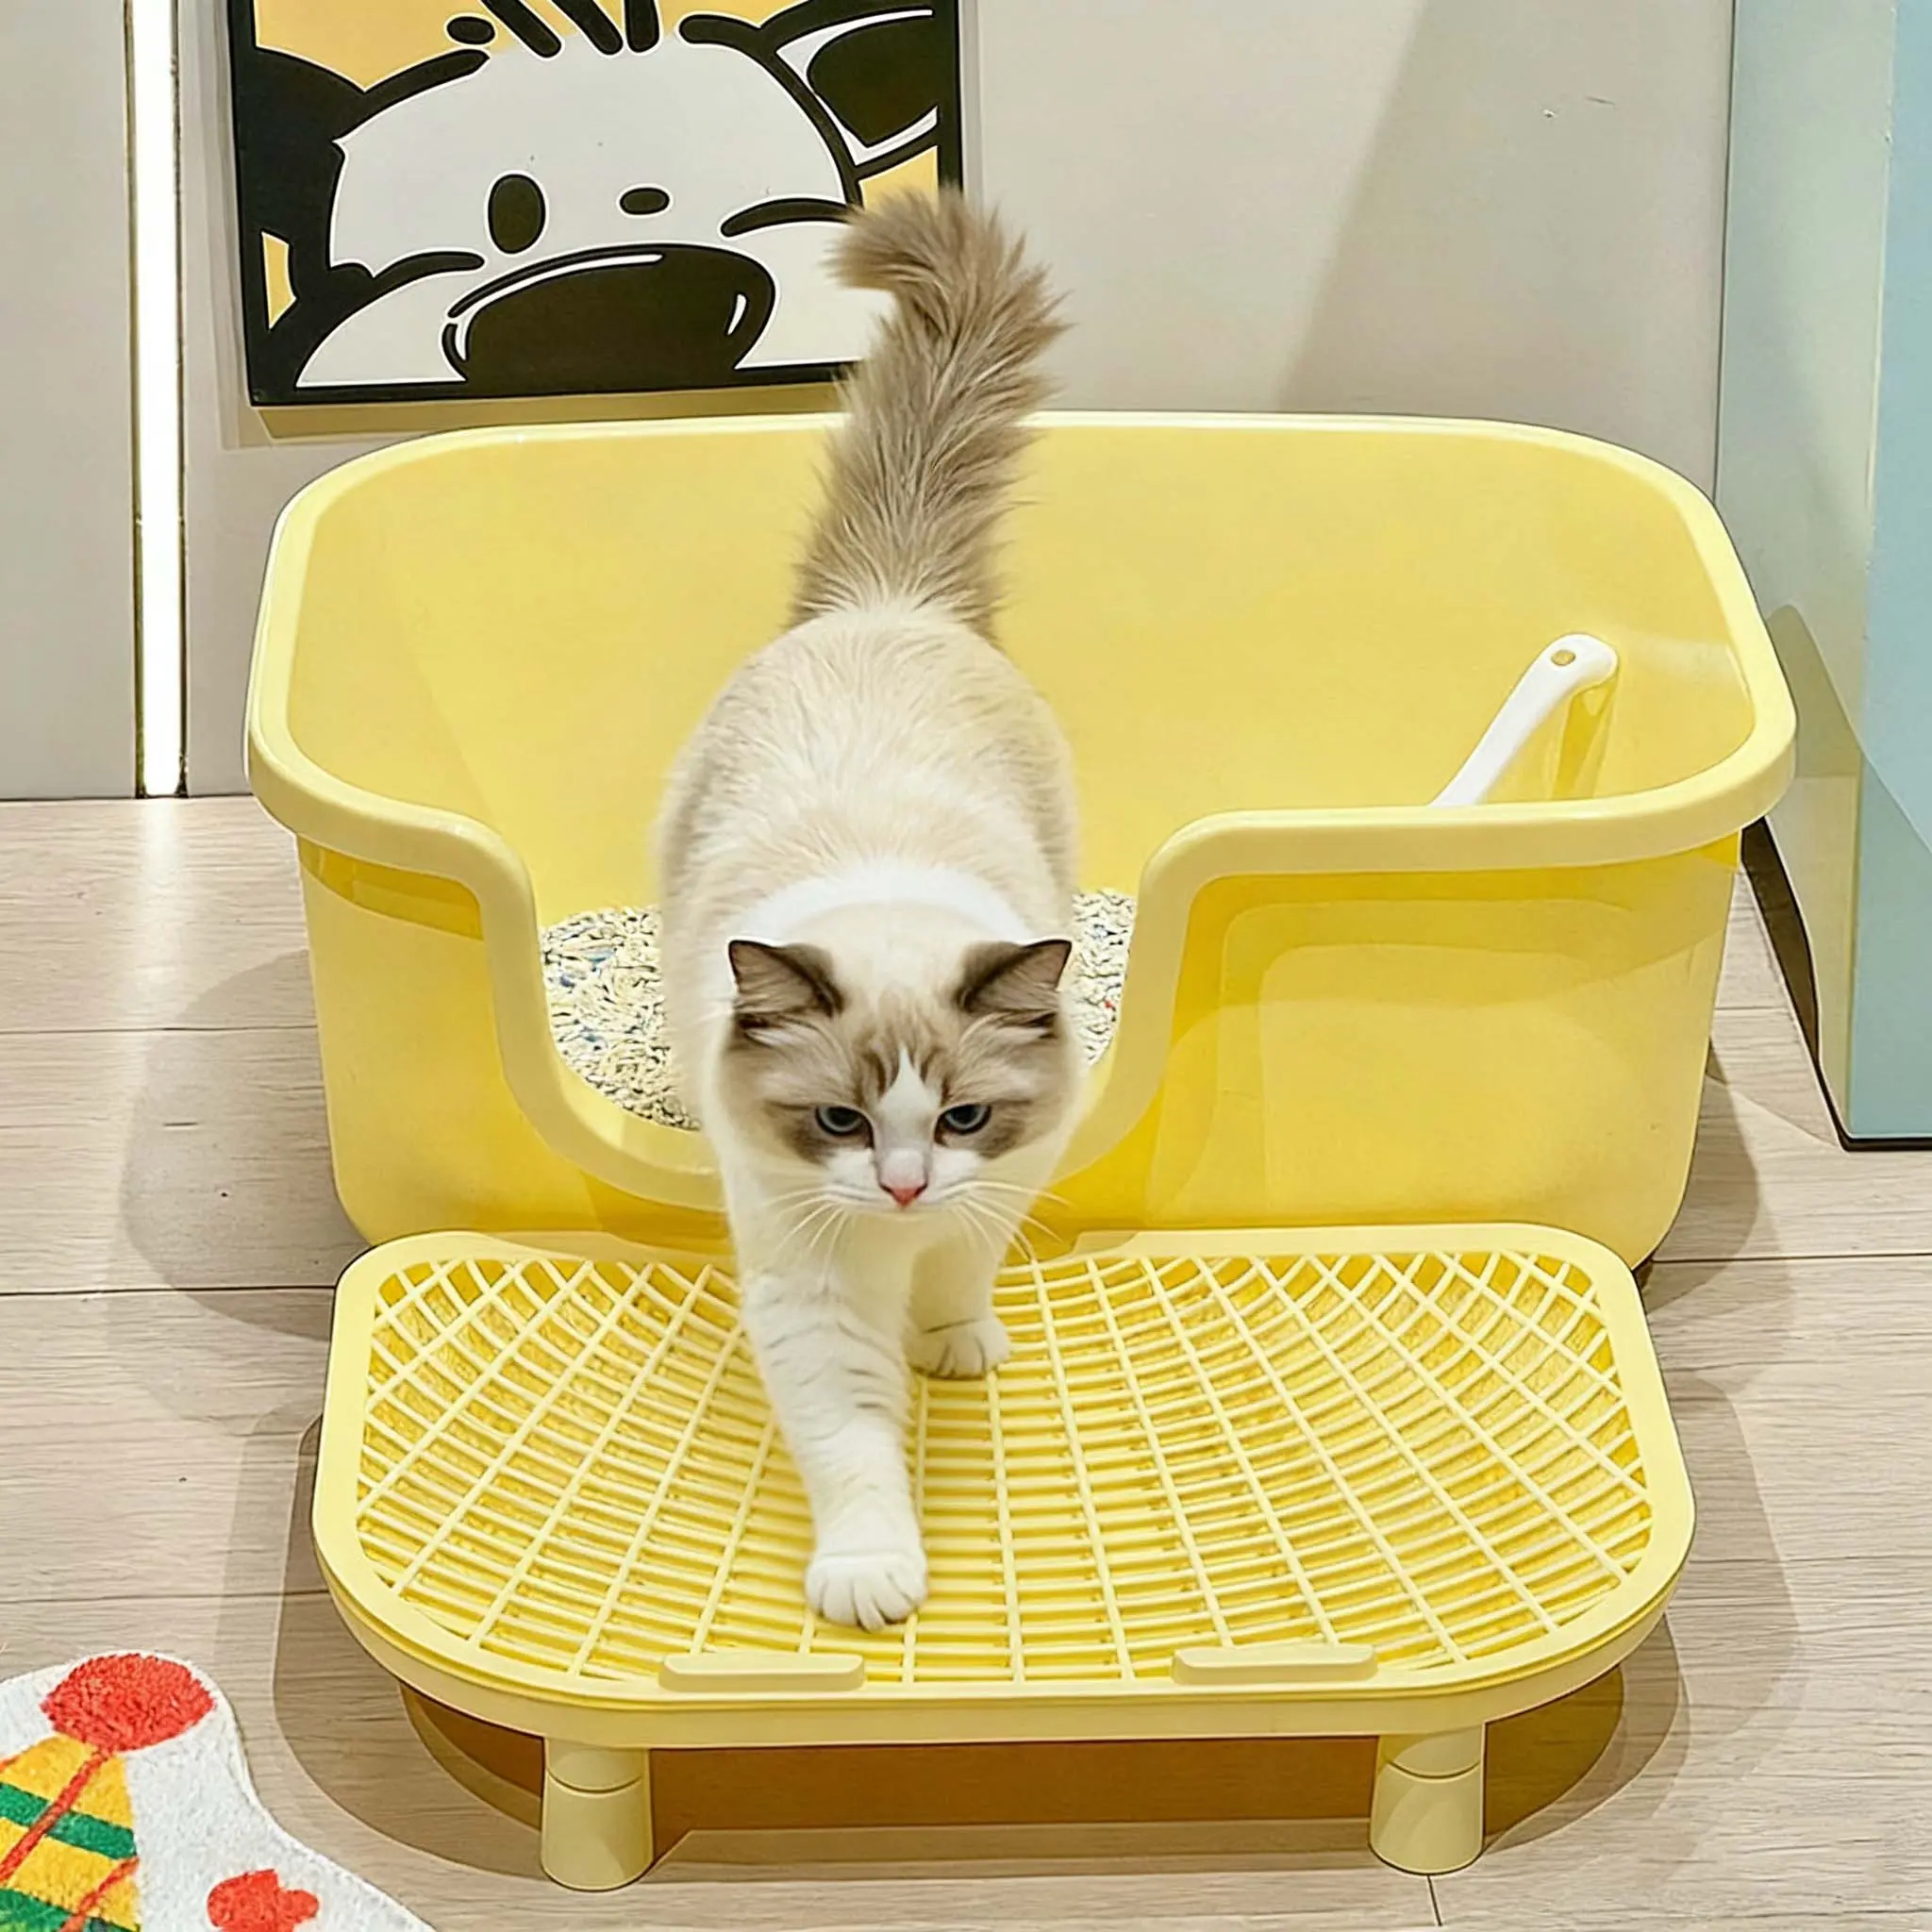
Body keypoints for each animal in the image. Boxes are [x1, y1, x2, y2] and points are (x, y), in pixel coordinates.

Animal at [655, 190, 1078, 1630]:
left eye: (962, 1119)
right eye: (839, 1120)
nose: (899, 1186)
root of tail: (886, 603)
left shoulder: (1004, 1183)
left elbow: (957, 1274)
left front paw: (954, 1343)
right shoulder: (811, 1280)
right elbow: (850, 1439)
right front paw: (873, 1580)